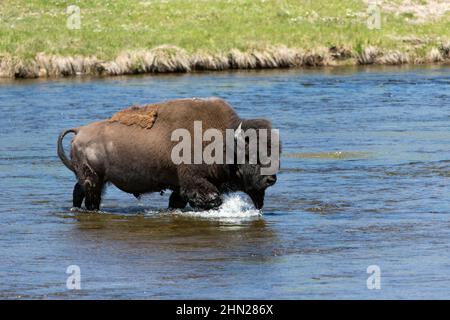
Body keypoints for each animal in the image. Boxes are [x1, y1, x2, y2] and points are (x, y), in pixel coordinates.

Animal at [58, 99, 280, 211]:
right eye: (252, 155)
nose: (271, 179)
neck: (224, 142)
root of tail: (80, 131)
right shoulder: (194, 181)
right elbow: (211, 199)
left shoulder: (181, 186)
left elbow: (177, 200)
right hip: (93, 179)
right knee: (90, 197)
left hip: (94, 179)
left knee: (78, 192)